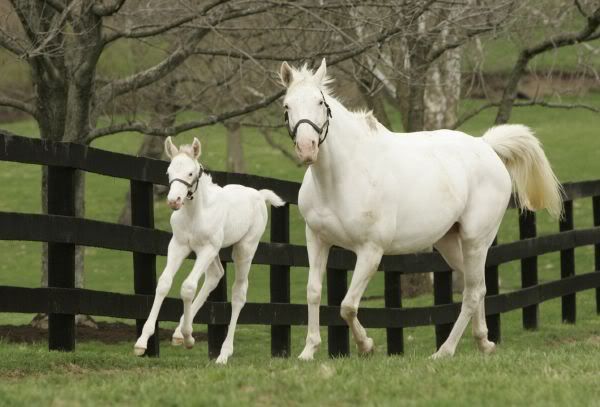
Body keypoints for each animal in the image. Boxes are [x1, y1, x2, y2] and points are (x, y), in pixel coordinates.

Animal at [134, 136, 284, 364]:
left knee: (238, 293)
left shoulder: (206, 250)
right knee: (215, 275)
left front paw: (189, 338)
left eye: (190, 173)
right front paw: (142, 342)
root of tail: (258, 195)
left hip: (243, 249)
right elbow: (164, 283)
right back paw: (178, 333)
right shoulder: (178, 245)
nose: (173, 201)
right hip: (215, 251)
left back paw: (223, 353)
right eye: (169, 172)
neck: (195, 213)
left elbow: (187, 287)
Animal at [278, 59, 564, 360]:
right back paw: (484, 342)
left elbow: (348, 305)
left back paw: (445, 351)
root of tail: (485, 146)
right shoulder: (317, 240)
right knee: (477, 286)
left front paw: (366, 346)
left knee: (473, 292)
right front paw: (308, 351)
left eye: (320, 102)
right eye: (287, 106)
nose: (307, 148)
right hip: (450, 242)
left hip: (476, 240)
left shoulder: (370, 251)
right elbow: (313, 292)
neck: (340, 177)